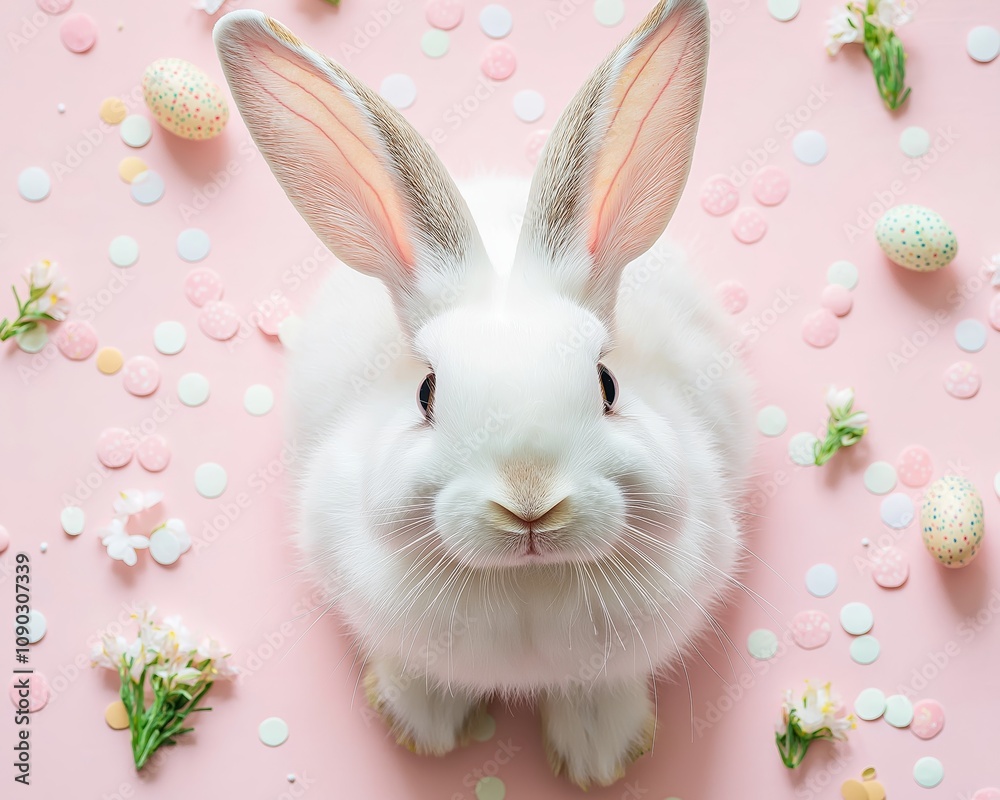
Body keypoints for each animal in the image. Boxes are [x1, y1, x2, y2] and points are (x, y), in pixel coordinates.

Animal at [215, 0, 753, 788]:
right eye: (427, 393)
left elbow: (597, 690)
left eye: (608, 384)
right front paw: (420, 727)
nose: (530, 503)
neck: (525, 588)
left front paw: (601, 757)